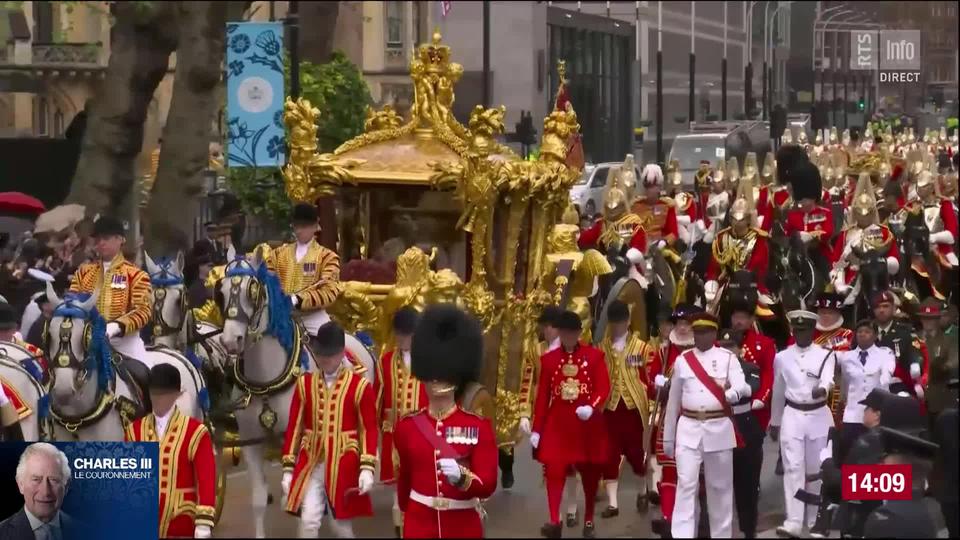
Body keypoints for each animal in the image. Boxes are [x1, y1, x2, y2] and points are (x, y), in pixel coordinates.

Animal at [219, 255, 376, 536]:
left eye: (253, 290)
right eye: (221, 291)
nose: (230, 340)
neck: (266, 381)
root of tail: (359, 337)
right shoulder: (251, 441)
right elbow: (260, 499)